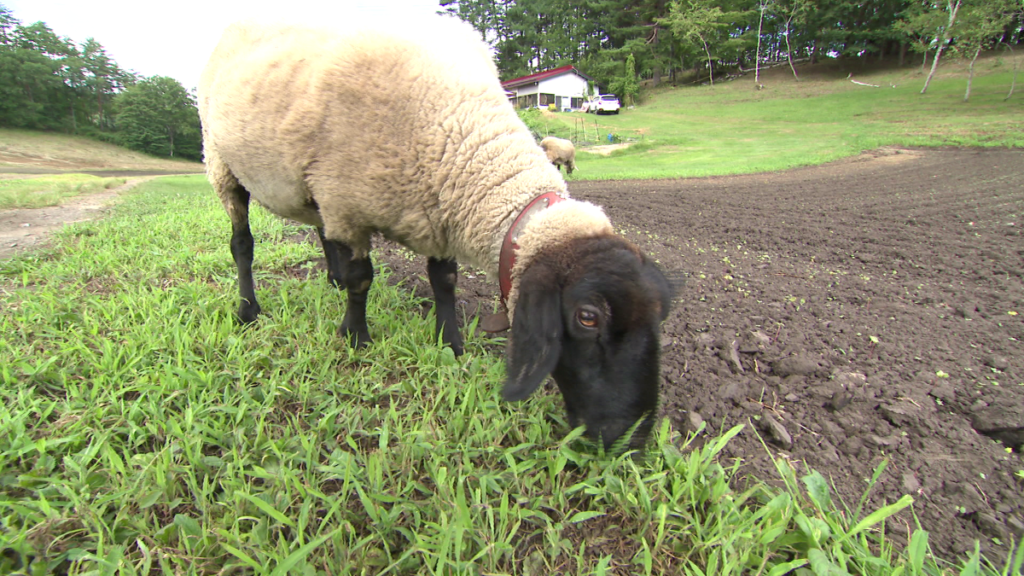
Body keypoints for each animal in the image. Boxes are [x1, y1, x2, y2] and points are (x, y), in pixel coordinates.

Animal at [197, 19, 679, 448]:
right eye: (587, 317)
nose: (631, 440)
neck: (455, 122)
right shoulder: (349, 206)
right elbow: (363, 280)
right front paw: (357, 338)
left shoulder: (437, 210)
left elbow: (444, 280)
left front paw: (451, 342)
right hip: (222, 163)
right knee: (242, 244)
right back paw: (248, 308)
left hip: (312, 190)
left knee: (320, 230)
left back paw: (328, 278)